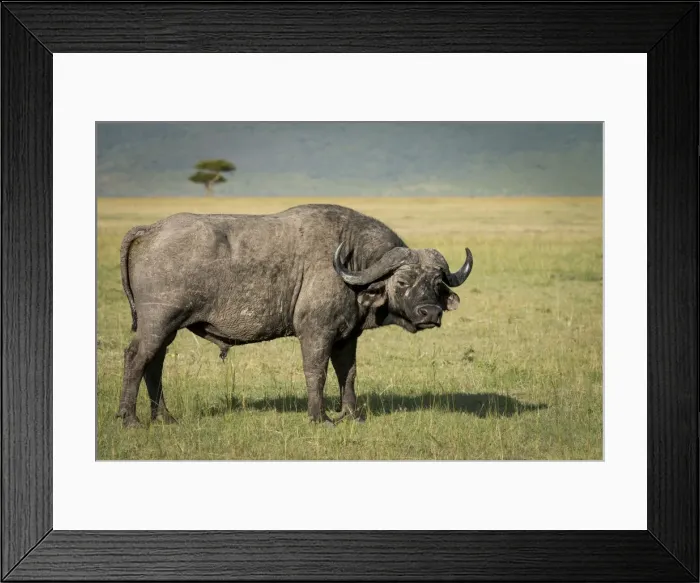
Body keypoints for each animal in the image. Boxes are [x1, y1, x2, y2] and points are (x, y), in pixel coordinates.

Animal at [117, 204, 473, 427]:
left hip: (167, 329)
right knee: (136, 358)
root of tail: (151, 229)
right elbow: (317, 373)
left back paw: (164, 417)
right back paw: (129, 419)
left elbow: (348, 375)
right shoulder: (316, 333)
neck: (351, 264)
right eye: (401, 281)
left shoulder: (347, 337)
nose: (430, 312)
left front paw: (351, 414)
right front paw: (320, 418)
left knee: (154, 364)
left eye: (436, 282)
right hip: (158, 323)